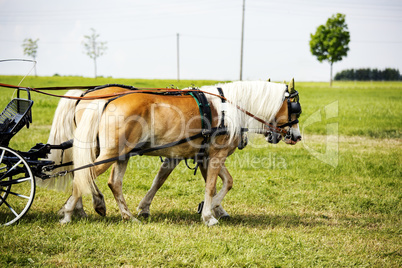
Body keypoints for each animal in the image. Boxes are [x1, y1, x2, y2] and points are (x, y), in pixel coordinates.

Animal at [44, 80, 302, 226]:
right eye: (294, 108)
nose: (297, 136)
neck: (228, 109)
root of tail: (104, 101)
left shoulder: (204, 156)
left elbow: (225, 182)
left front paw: (213, 208)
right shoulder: (214, 156)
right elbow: (212, 185)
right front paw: (208, 215)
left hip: (120, 154)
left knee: (111, 182)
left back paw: (125, 216)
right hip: (109, 152)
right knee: (83, 176)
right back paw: (70, 213)